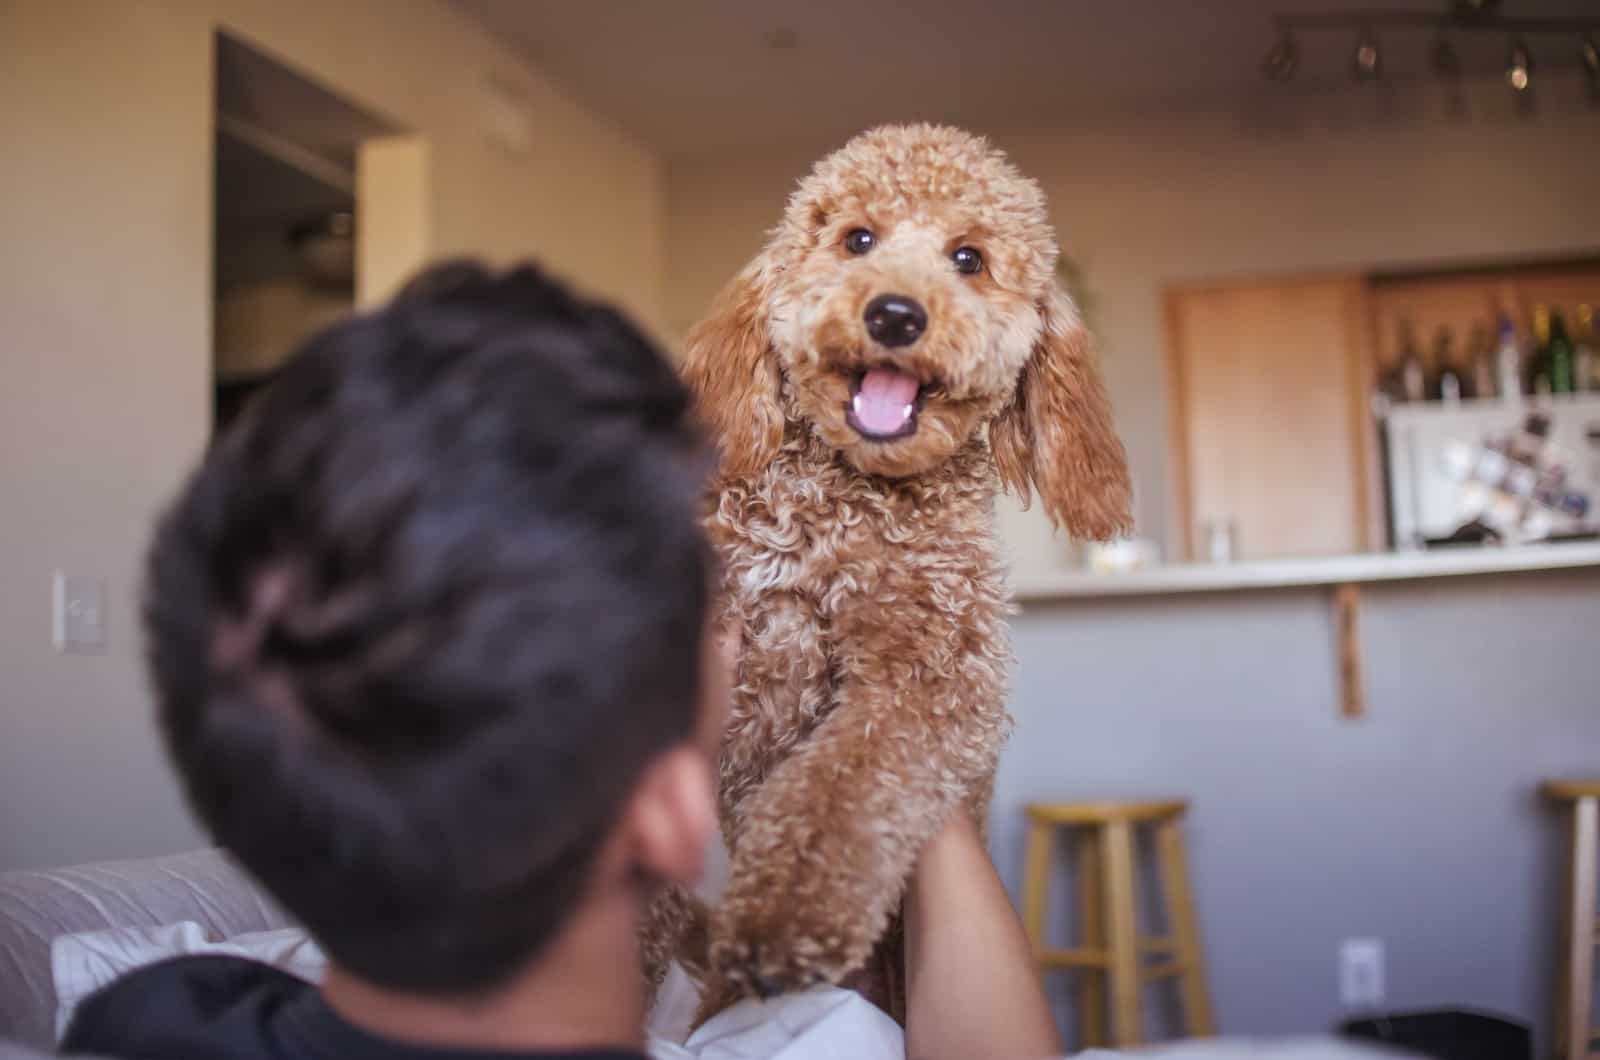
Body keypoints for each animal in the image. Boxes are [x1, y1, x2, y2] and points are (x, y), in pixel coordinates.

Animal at [656, 124, 1132, 1031]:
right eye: (857, 240)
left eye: (969, 258)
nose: (895, 314)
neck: (842, 501)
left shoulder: (934, 673)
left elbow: (841, 795)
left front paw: (782, 922)